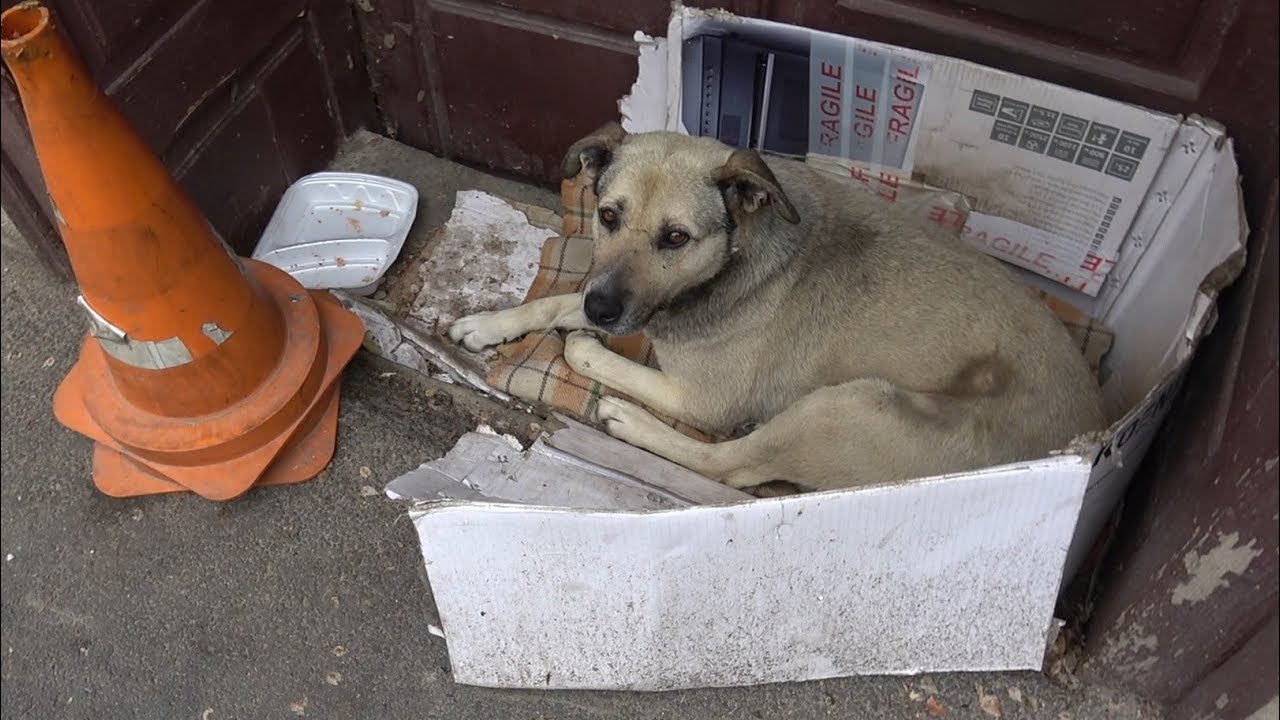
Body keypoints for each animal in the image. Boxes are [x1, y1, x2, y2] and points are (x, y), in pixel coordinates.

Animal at [450, 122, 1111, 491]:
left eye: (675, 238)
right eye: (608, 215)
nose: (605, 311)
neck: (732, 259)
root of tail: (1087, 440)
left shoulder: (705, 398)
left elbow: (592, 355)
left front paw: (586, 350)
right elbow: (558, 301)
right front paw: (488, 324)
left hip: (848, 406)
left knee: (728, 465)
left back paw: (628, 420)